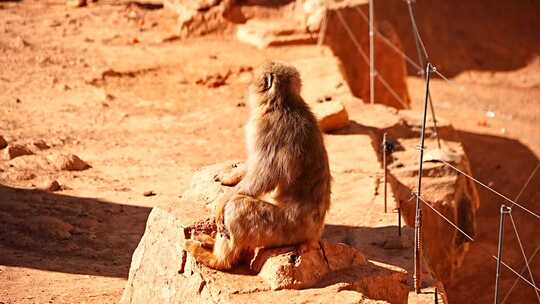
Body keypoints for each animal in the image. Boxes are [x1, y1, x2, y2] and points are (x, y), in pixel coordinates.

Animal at [184, 61, 332, 270]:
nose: (247, 88)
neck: (284, 103)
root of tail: (313, 236)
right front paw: (230, 176)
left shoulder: (263, 127)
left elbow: (264, 175)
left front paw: (224, 200)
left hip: (283, 230)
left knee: (237, 208)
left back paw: (216, 260)